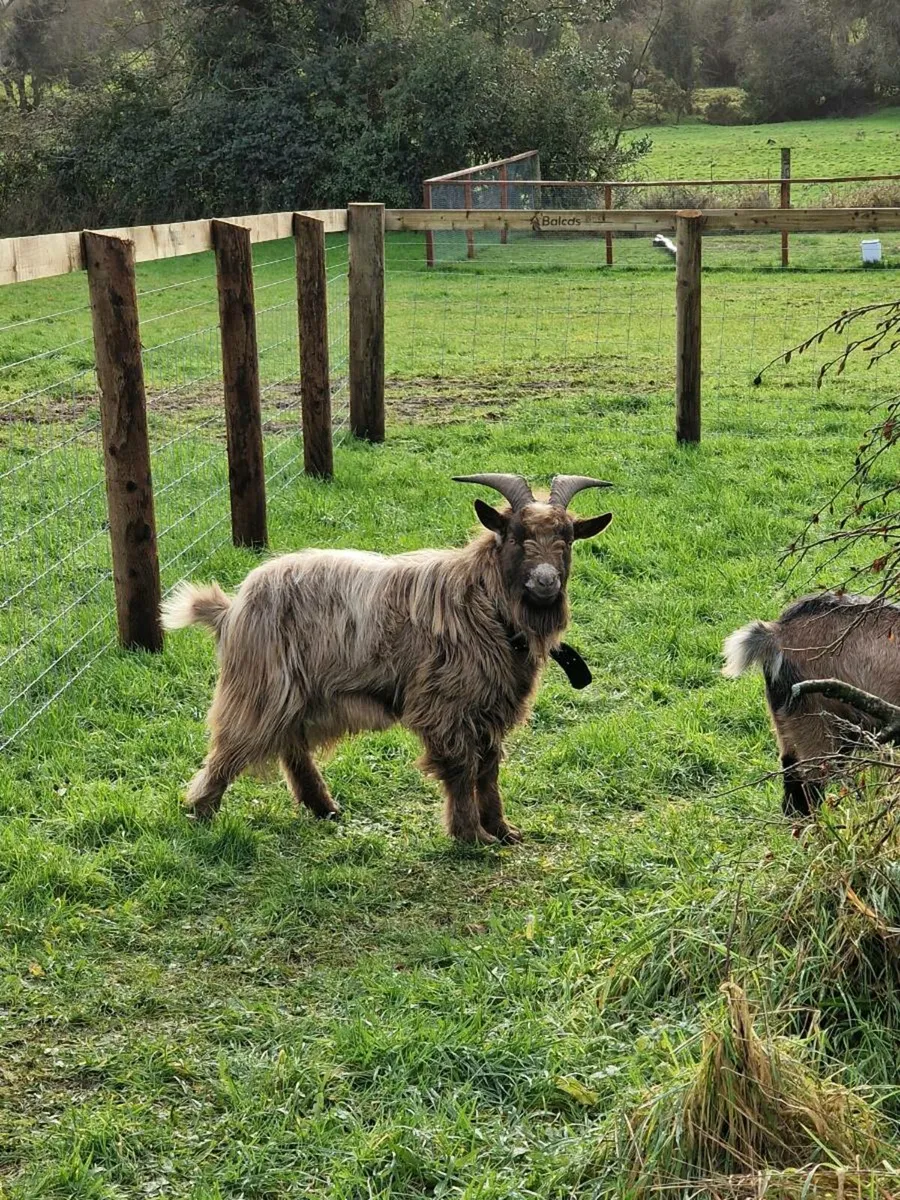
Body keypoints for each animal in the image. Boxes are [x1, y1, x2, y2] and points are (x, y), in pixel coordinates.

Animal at [162, 474, 612, 844]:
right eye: (516, 537)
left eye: (568, 538)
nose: (545, 582)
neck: (482, 601)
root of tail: (229, 609)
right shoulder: (447, 706)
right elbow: (461, 768)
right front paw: (472, 836)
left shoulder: (491, 708)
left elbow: (488, 770)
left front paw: (503, 830)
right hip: (260, 687)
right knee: (231, 746)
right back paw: (202, 813)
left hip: (294, 692)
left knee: (292, 747)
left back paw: (324, 808)